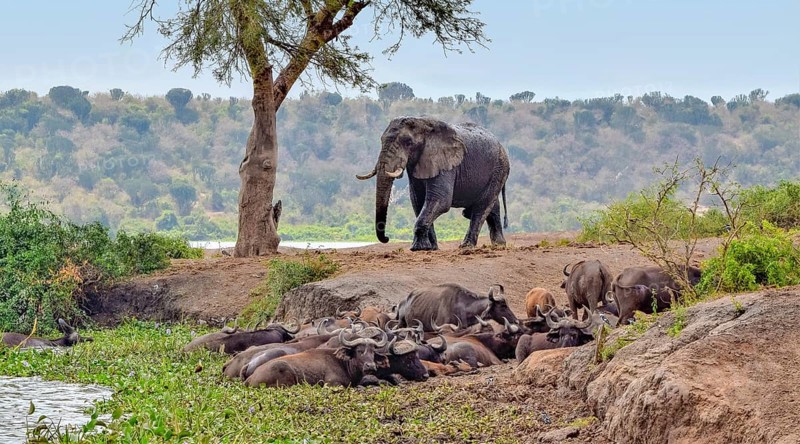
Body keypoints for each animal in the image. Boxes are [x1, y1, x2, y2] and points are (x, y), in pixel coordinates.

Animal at [356, 117, 510, 251]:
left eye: (408, 143)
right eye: (381, 140)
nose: (387, 238)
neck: (423, 123)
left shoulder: (445, 163)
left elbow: (440, 200)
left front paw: (418, 248)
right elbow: (418, 201)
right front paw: (429, 248)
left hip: (499, 169)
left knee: (481, 207)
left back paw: (467, 246)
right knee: (492, 206)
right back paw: (499, 245)